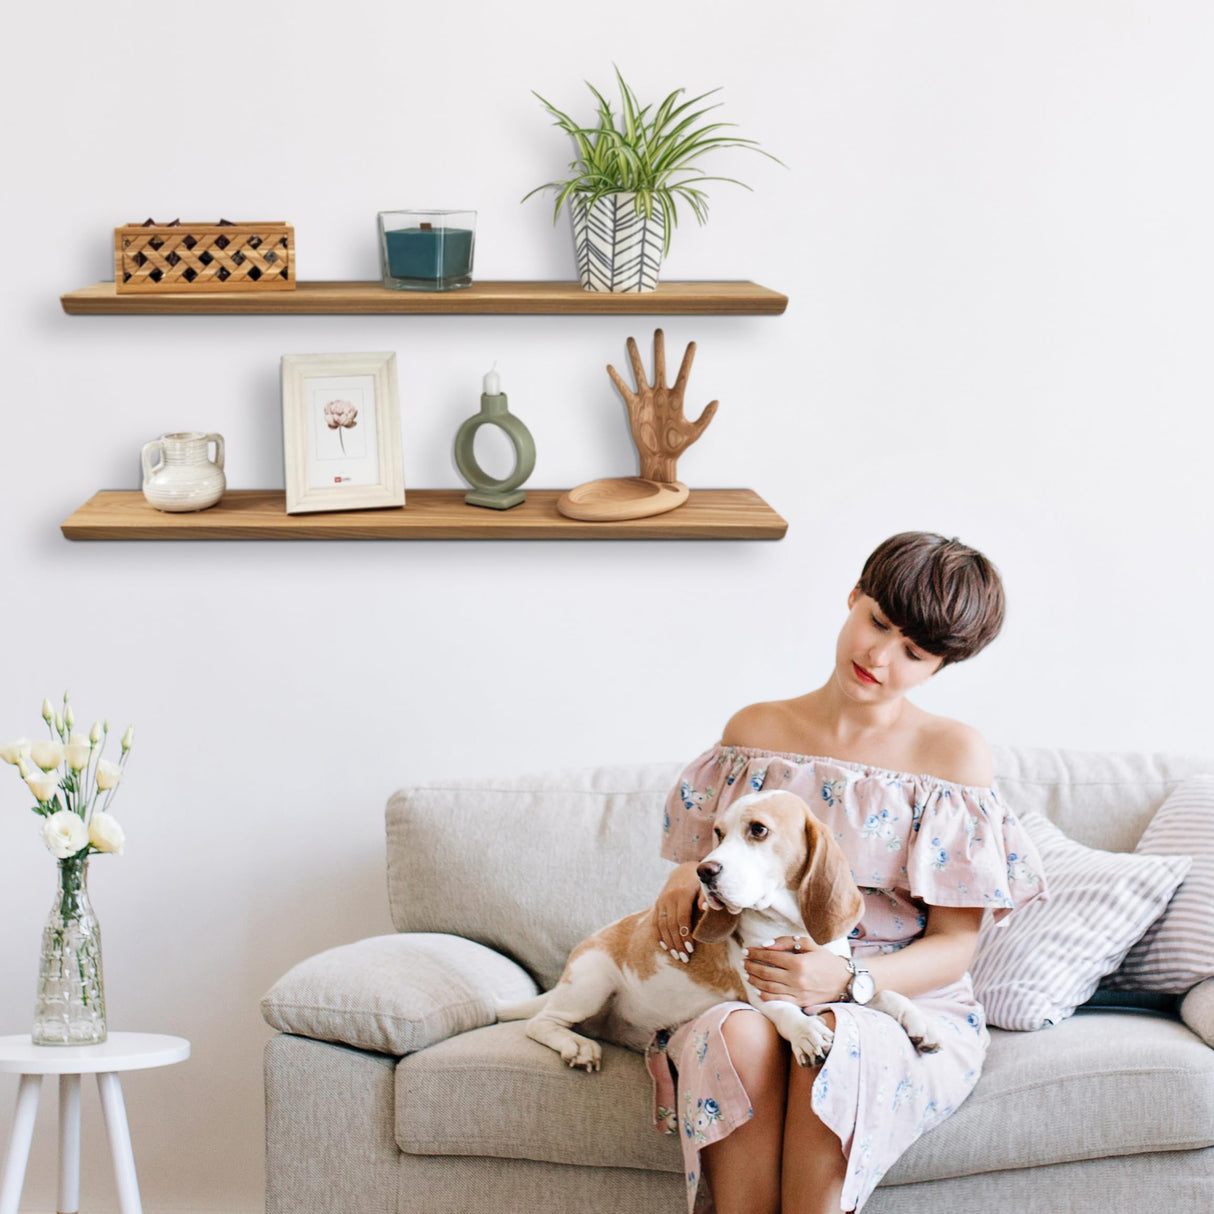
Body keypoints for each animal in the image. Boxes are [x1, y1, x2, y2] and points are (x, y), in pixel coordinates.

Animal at [497, 791, 942, 1068]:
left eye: (758, 829)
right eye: (718, 833)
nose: (703, 871)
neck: (793, 927)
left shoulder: (831, 986)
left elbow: (885, 993)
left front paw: (918, 1021)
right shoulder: (766, 993)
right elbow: (787, 1012)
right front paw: (806, 1032)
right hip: (591, 984)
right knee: (540, 1024)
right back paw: (576, 1046)